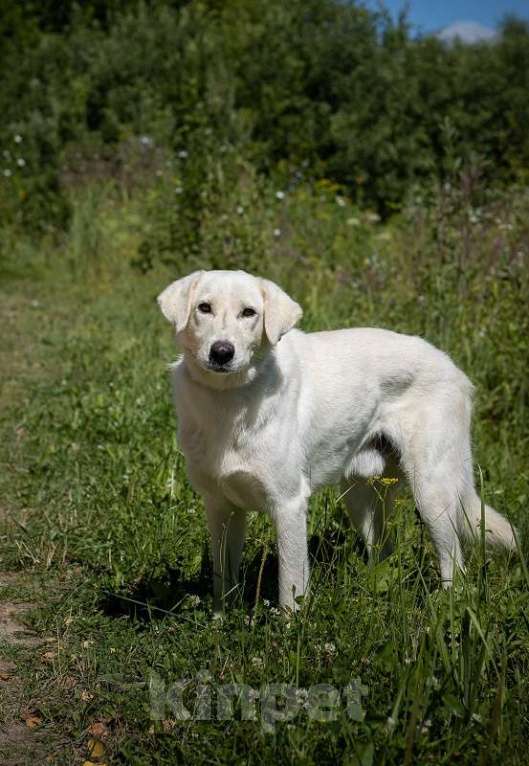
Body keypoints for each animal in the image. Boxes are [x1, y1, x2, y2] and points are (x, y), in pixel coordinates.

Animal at [157, 270, 512, 612]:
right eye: (204, 308)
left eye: (249, 313)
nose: (221, 352)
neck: (229, 400)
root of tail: (451, 365)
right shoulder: (220, 507)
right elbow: (223, 583)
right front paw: (219, 623)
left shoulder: (288, 505)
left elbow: (290, 590)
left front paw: (289, 630)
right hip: (361, 499)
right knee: (383, 552)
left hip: (432, 494)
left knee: (455, 567)